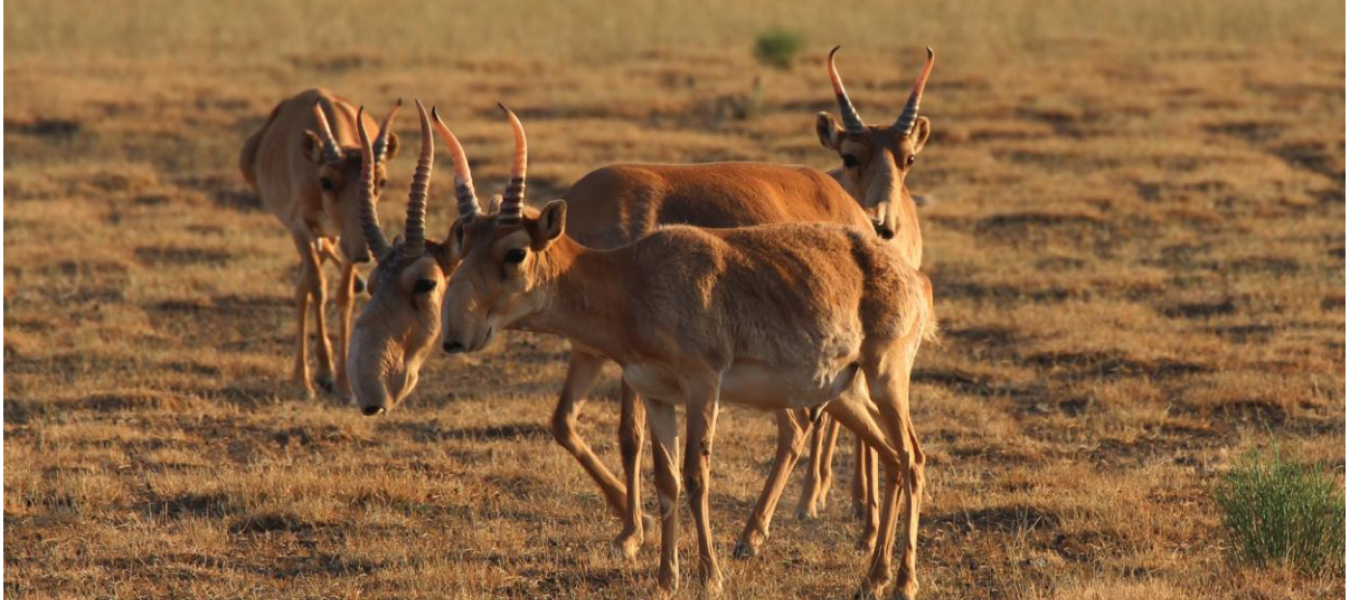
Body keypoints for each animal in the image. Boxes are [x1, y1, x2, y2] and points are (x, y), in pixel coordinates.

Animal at [238, 89, 399, 397]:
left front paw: (344, 383)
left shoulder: (347, 238)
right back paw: (302, 379)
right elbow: (318, 288)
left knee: (305, 281)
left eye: (382, 181)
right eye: (326, 180)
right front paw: (323, 372)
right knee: (306, 285)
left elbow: (343, 295)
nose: (363, 253)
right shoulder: (301, 227)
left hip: (331, 237)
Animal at [440, 110, 939, 597]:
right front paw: (665, 577)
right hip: (844, 392)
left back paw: (903, 581)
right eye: (464, 239)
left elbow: (697, 475)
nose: (454, 336)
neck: (631, 278)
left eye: (515, 252)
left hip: (886, 377)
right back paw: (872, 577)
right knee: (890, 457)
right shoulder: (657, 394)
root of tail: (915, 277)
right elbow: (666, 479)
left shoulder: (703, 386)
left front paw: (709, 575)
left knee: (912, 457)